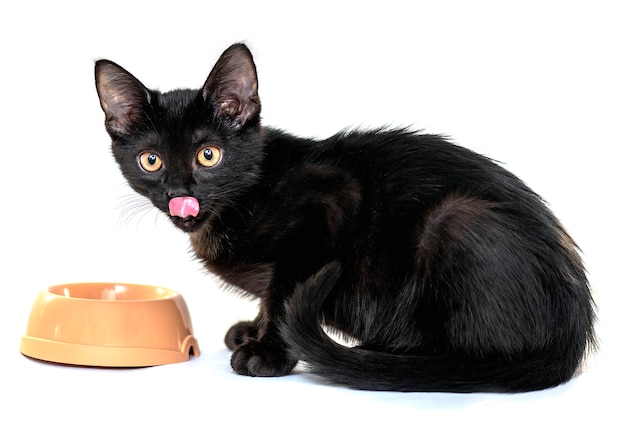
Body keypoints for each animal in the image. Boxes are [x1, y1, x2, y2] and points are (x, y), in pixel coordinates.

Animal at [95, 43, 592, 392]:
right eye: (151, 161)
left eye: (209, 155)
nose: (180, 193)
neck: (242, 199)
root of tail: (573, 333)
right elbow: (270, 294)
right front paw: (252, 330)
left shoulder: (330, 200)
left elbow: (285, 289)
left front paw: (268, 352)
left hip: (457, 219)